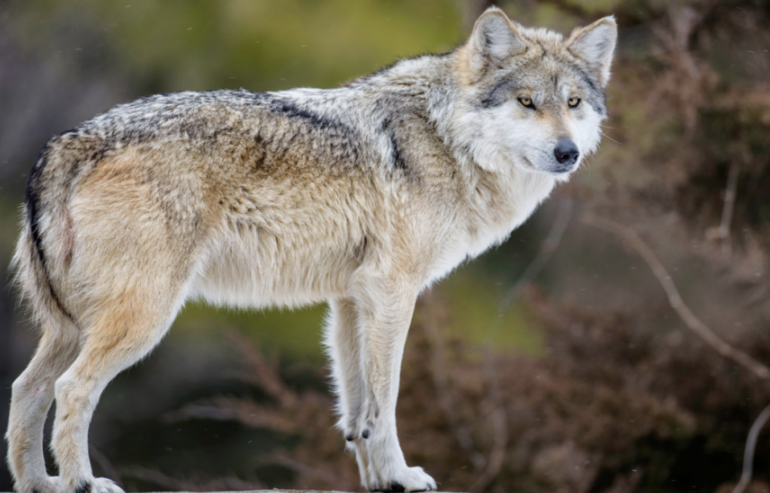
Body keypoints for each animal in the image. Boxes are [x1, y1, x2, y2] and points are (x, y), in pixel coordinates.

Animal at [6, 7, 616, 493]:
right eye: (527, 102)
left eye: (573, 102)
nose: (567, 152)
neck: (446, 138)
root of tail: (66, 142)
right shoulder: (392, 292)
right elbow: (386, 400)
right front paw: (402, 476)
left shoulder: (350, 299)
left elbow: (356, 411)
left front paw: (377, 481)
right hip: (143, 318)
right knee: (71, 389)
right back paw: (82, 483)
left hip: (71, 326)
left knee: (26, 389)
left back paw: (39, 484)